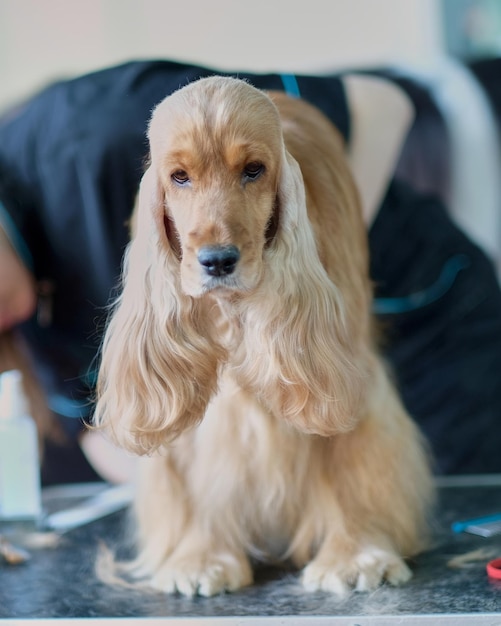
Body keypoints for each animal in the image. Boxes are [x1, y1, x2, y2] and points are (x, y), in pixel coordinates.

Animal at [94, 77, 434, 596]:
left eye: (253, 170)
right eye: (179, 177)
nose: (217, 260)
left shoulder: (346, 369)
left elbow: (349, 451)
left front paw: (355, 554)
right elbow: (202, 463)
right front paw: (202, 557)